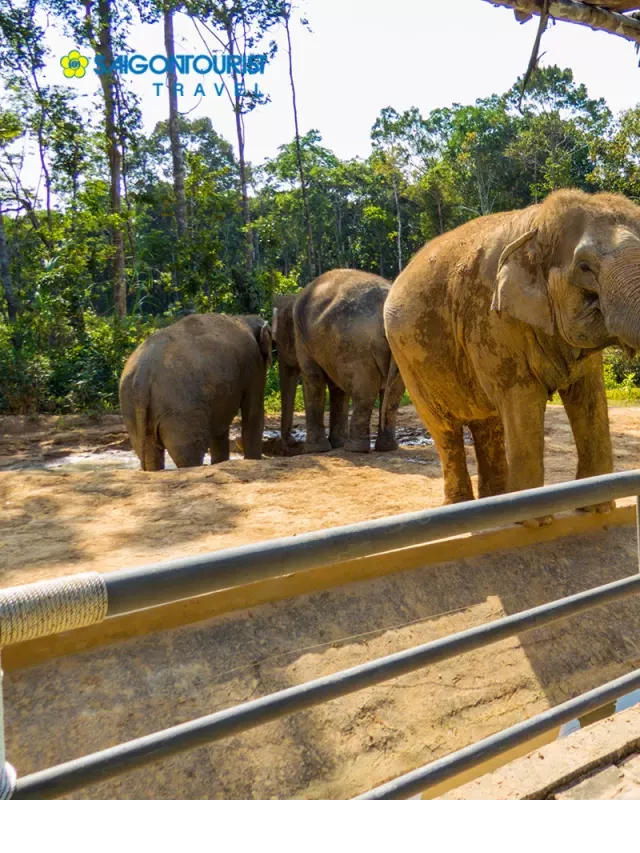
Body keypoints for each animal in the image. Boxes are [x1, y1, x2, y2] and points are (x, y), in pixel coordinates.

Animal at [119, 312, 272, 472]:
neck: (243, 318)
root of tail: (142, 375)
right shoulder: (253, 364)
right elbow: (253, 413)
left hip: (131, 408)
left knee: (150, 453)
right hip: (181, 412)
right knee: (188, 454)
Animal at [272, 268, 404, 452]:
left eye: (278, 341)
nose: (289, 443)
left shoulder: (303, 340)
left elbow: (313, 380)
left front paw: (314, 450)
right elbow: (337, 389)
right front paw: (335, 444)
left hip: (356, 347)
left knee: (364, 393)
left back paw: (354, 448)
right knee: (393, 394)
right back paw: (386, 447)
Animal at [382, 189, 640, 524]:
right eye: (584, 266)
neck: (537, 224)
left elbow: (589, 396)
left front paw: (597, 510)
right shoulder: (492, 318)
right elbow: (523, 397)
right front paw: (535, 522)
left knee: (489, 424)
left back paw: (493, 506)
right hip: (409, 362)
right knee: (445, 429)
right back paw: (464, 508)